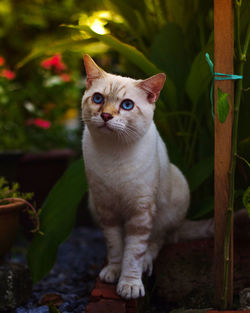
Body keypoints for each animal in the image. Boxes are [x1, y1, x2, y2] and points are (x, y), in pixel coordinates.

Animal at [81, 54, 190, 298]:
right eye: (98, 98)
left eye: (127, 105)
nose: (105, 115)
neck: (114, 153)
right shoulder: (106, 208)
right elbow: (115, 246)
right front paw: (114, 271)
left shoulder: (141, 212)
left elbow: (134, 252)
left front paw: (130, 284)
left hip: (173, 200)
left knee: (158, 241)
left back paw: (147, 262)